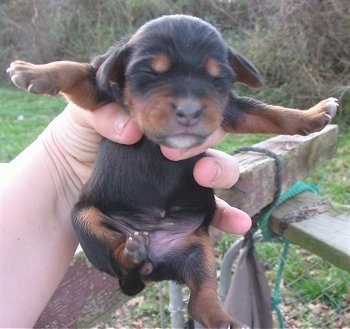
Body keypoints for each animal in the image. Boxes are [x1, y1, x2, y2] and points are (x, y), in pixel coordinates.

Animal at [7, 15, 336, 328]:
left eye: (217, 79)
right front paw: (34, 72)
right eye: (149, 74)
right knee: (116, 256)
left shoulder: (226, 108)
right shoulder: (98, 92)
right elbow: (74, 70)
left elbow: (268, 113)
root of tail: (154, 265)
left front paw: (313, 115)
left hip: (199, 249)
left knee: (200, 300)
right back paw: (131, 251)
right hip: (85, 219)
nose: (190, 111)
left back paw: (225, 320)